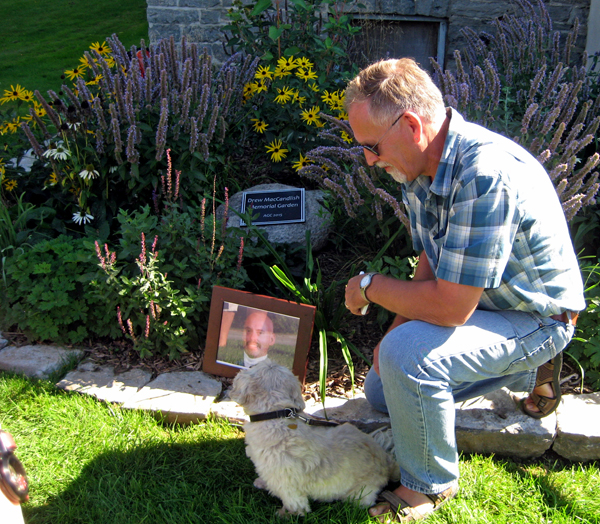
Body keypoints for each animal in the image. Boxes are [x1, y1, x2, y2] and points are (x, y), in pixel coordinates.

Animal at [229, 360, 398, 516]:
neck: (278, 415)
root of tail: (388, 462)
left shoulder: (286, 483)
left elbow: (295, 505)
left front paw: (284, 514)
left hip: (359, 495)